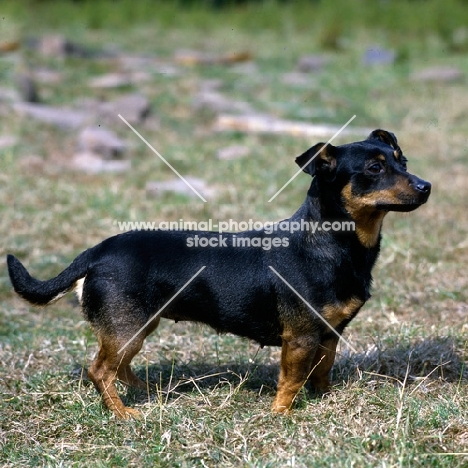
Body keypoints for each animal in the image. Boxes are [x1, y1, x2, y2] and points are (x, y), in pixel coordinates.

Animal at [7, 130, 432, 418]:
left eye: (404, 162)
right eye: (375, 169)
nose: (426, 186)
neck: (330, 242)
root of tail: (96, 252)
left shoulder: (329, 333)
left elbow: (322, 371)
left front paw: (324, 400)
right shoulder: (300, 338)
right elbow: (291, 379)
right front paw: (281, 415)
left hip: (138, 326)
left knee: (119, 368)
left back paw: (151, 392)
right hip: (128, 327)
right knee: (100, 371)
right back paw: (124, 414)